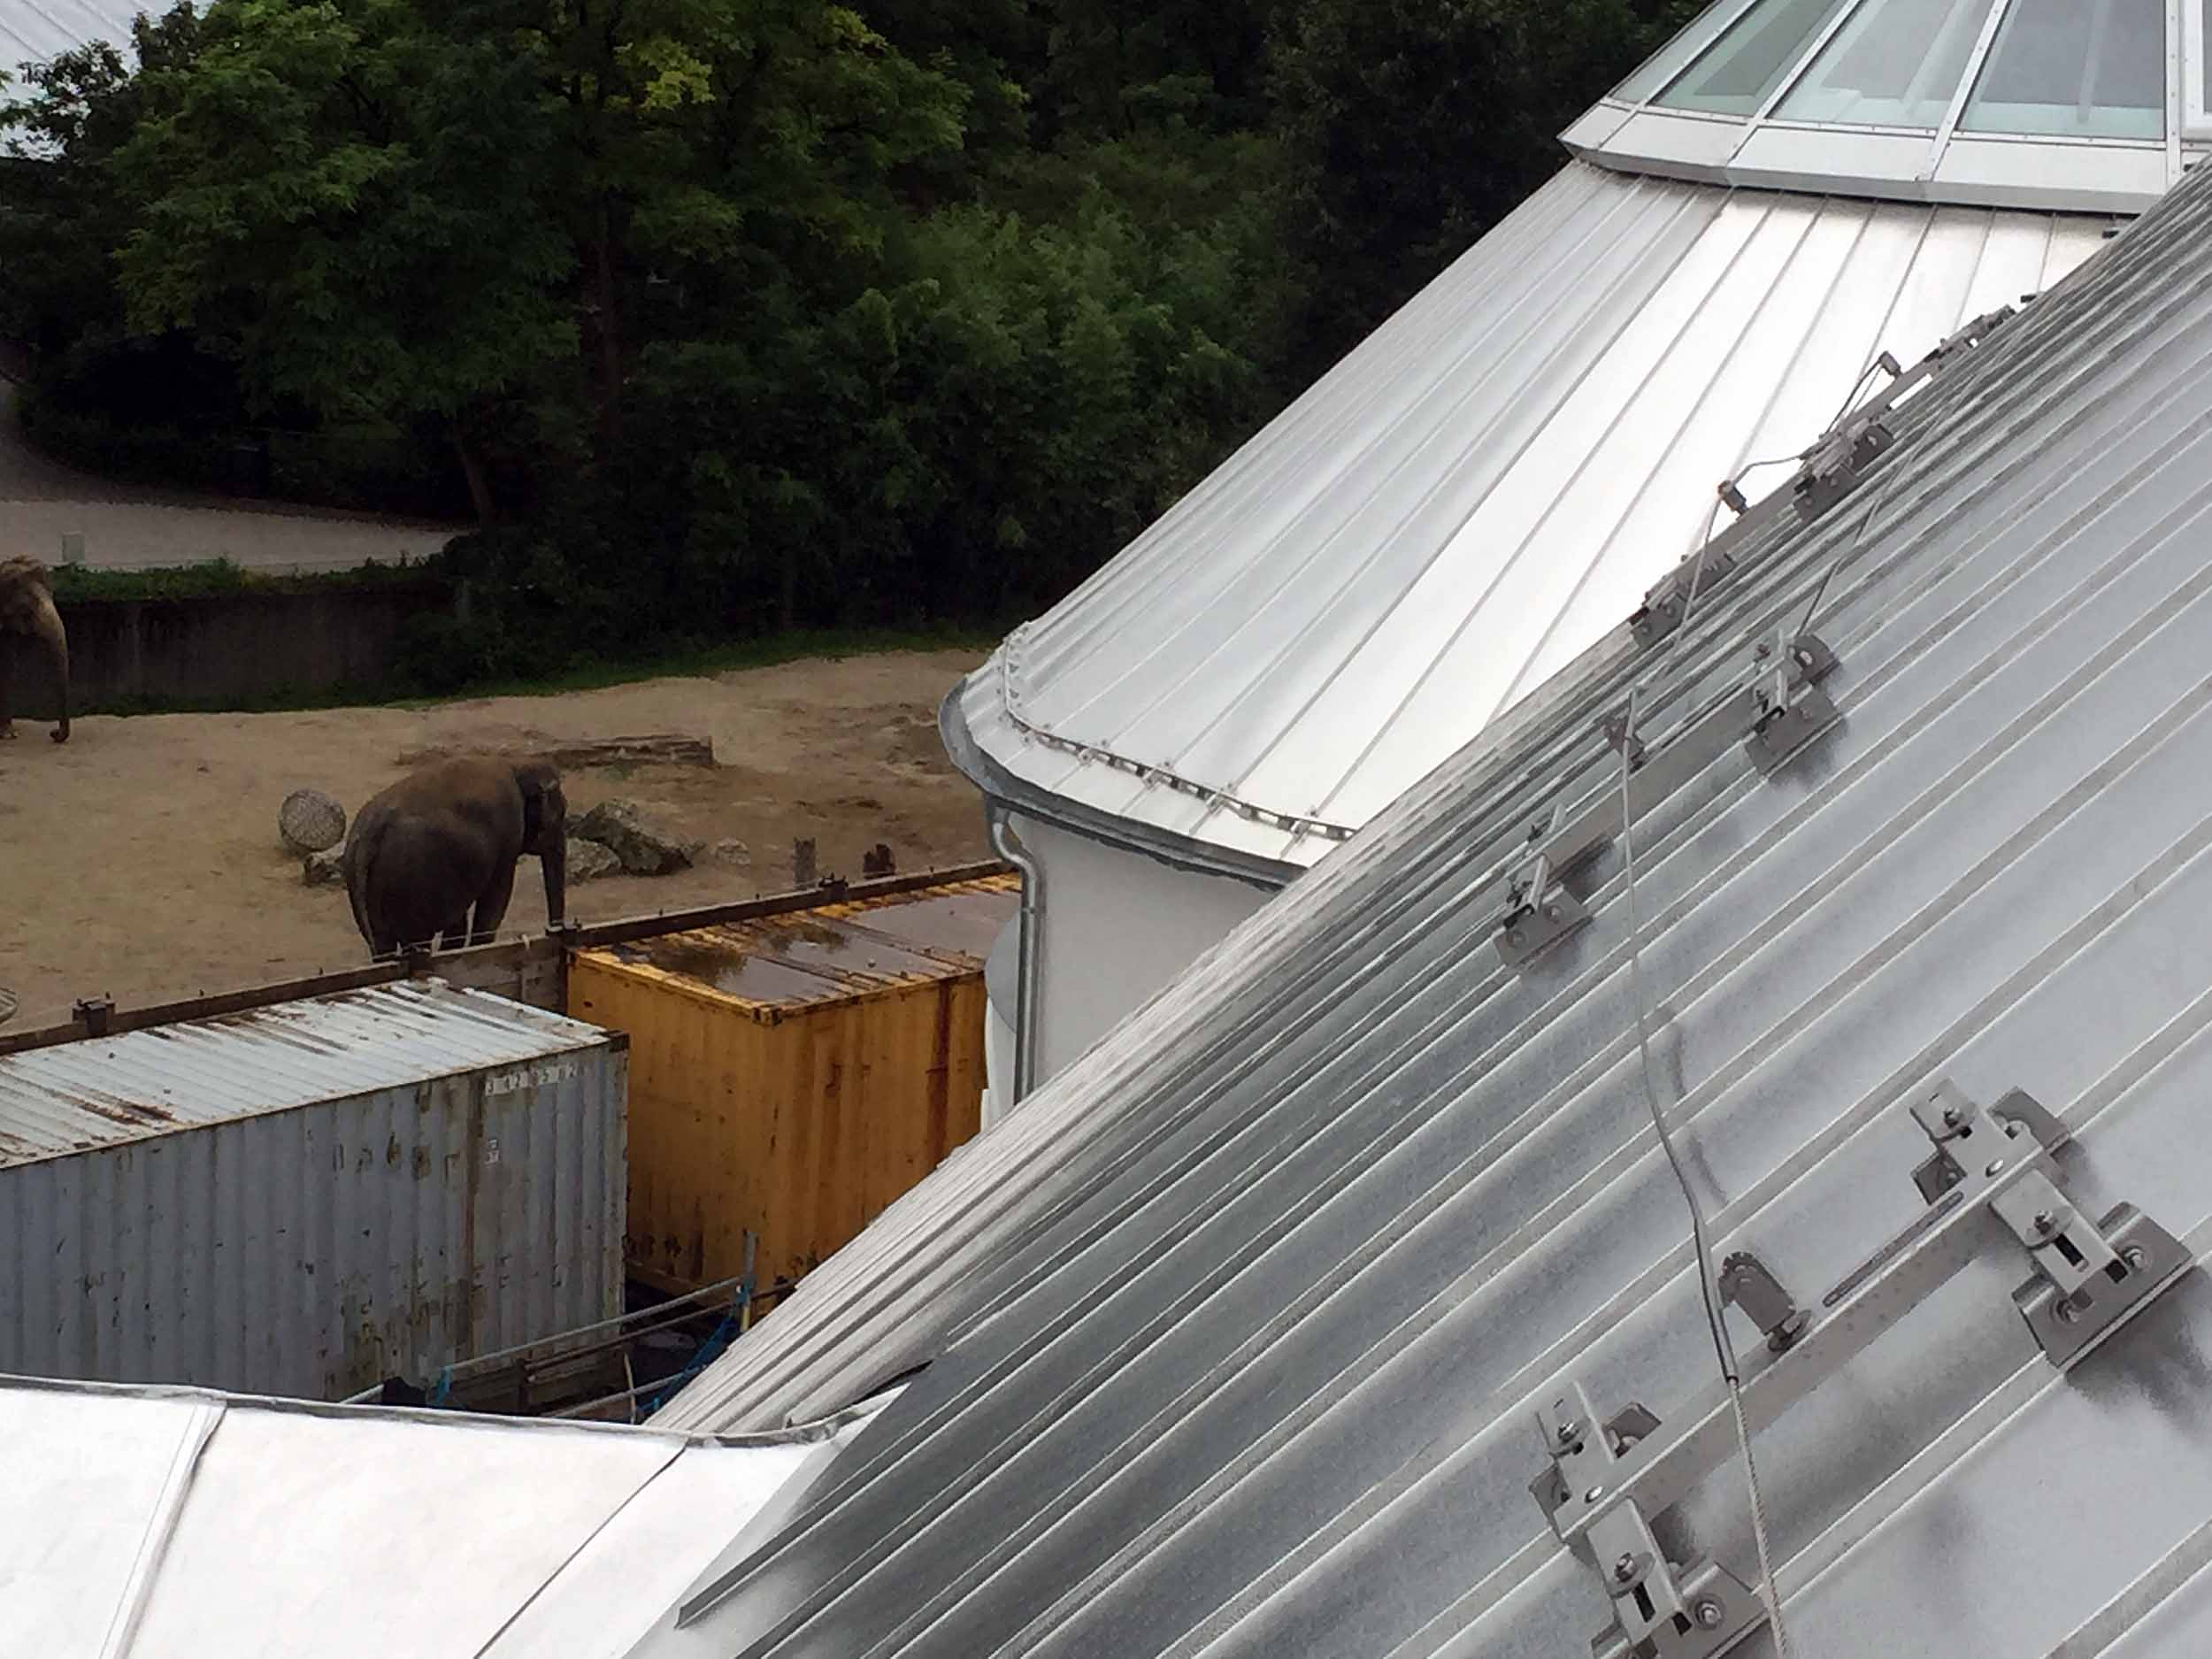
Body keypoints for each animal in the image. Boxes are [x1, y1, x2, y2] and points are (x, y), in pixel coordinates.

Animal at [342, 757, 566, 960]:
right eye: (560, 817)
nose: (553, 932)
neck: (517, 766)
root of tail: (371, 833)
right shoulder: (508, 836)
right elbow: (496, 898)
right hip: (409, 881)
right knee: (415, 939)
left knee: (382, 945)